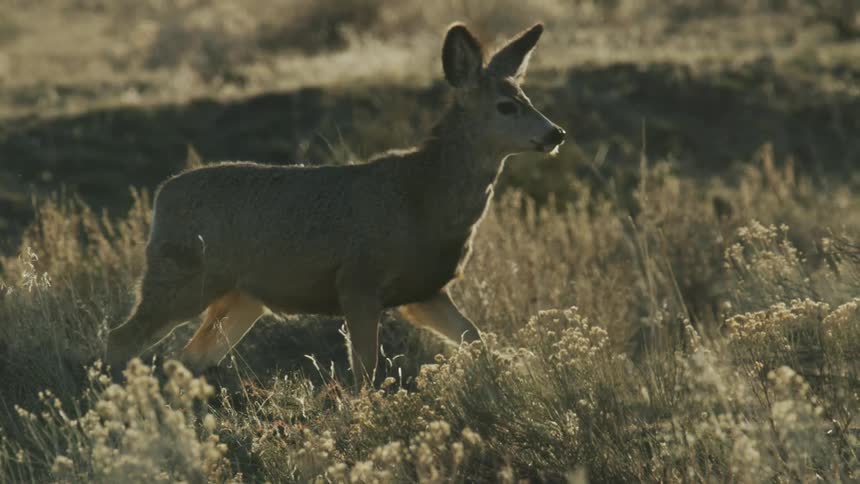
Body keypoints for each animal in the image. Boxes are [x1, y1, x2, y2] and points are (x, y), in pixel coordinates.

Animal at [106, 21, 566, 388]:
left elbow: (477, 339)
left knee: (189, 359)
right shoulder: (359, 280)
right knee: (121, 338)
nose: (555, 133)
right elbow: (366, 371)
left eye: (526, 98)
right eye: (505, 107)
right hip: (180, 277)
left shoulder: (425, 291)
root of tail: (161, 198)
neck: (425, 198)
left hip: (241, 298)